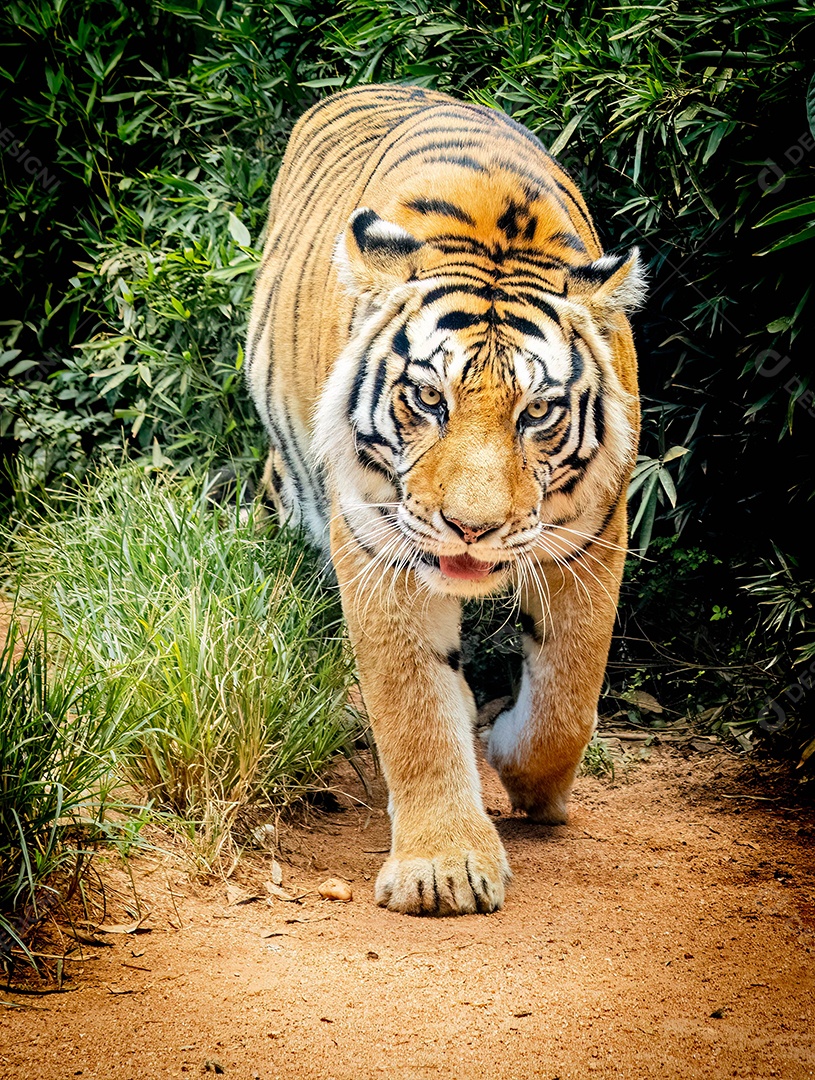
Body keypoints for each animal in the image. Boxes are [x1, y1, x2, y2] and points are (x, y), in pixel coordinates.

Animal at [241, 84, 643, 915]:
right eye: (428, 399)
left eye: (536, 412)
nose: (470, 528)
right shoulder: (378, 543)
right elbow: (412, 707)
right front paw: (442, 870)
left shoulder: (595, 532)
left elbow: (568, 694)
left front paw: (526, 778)